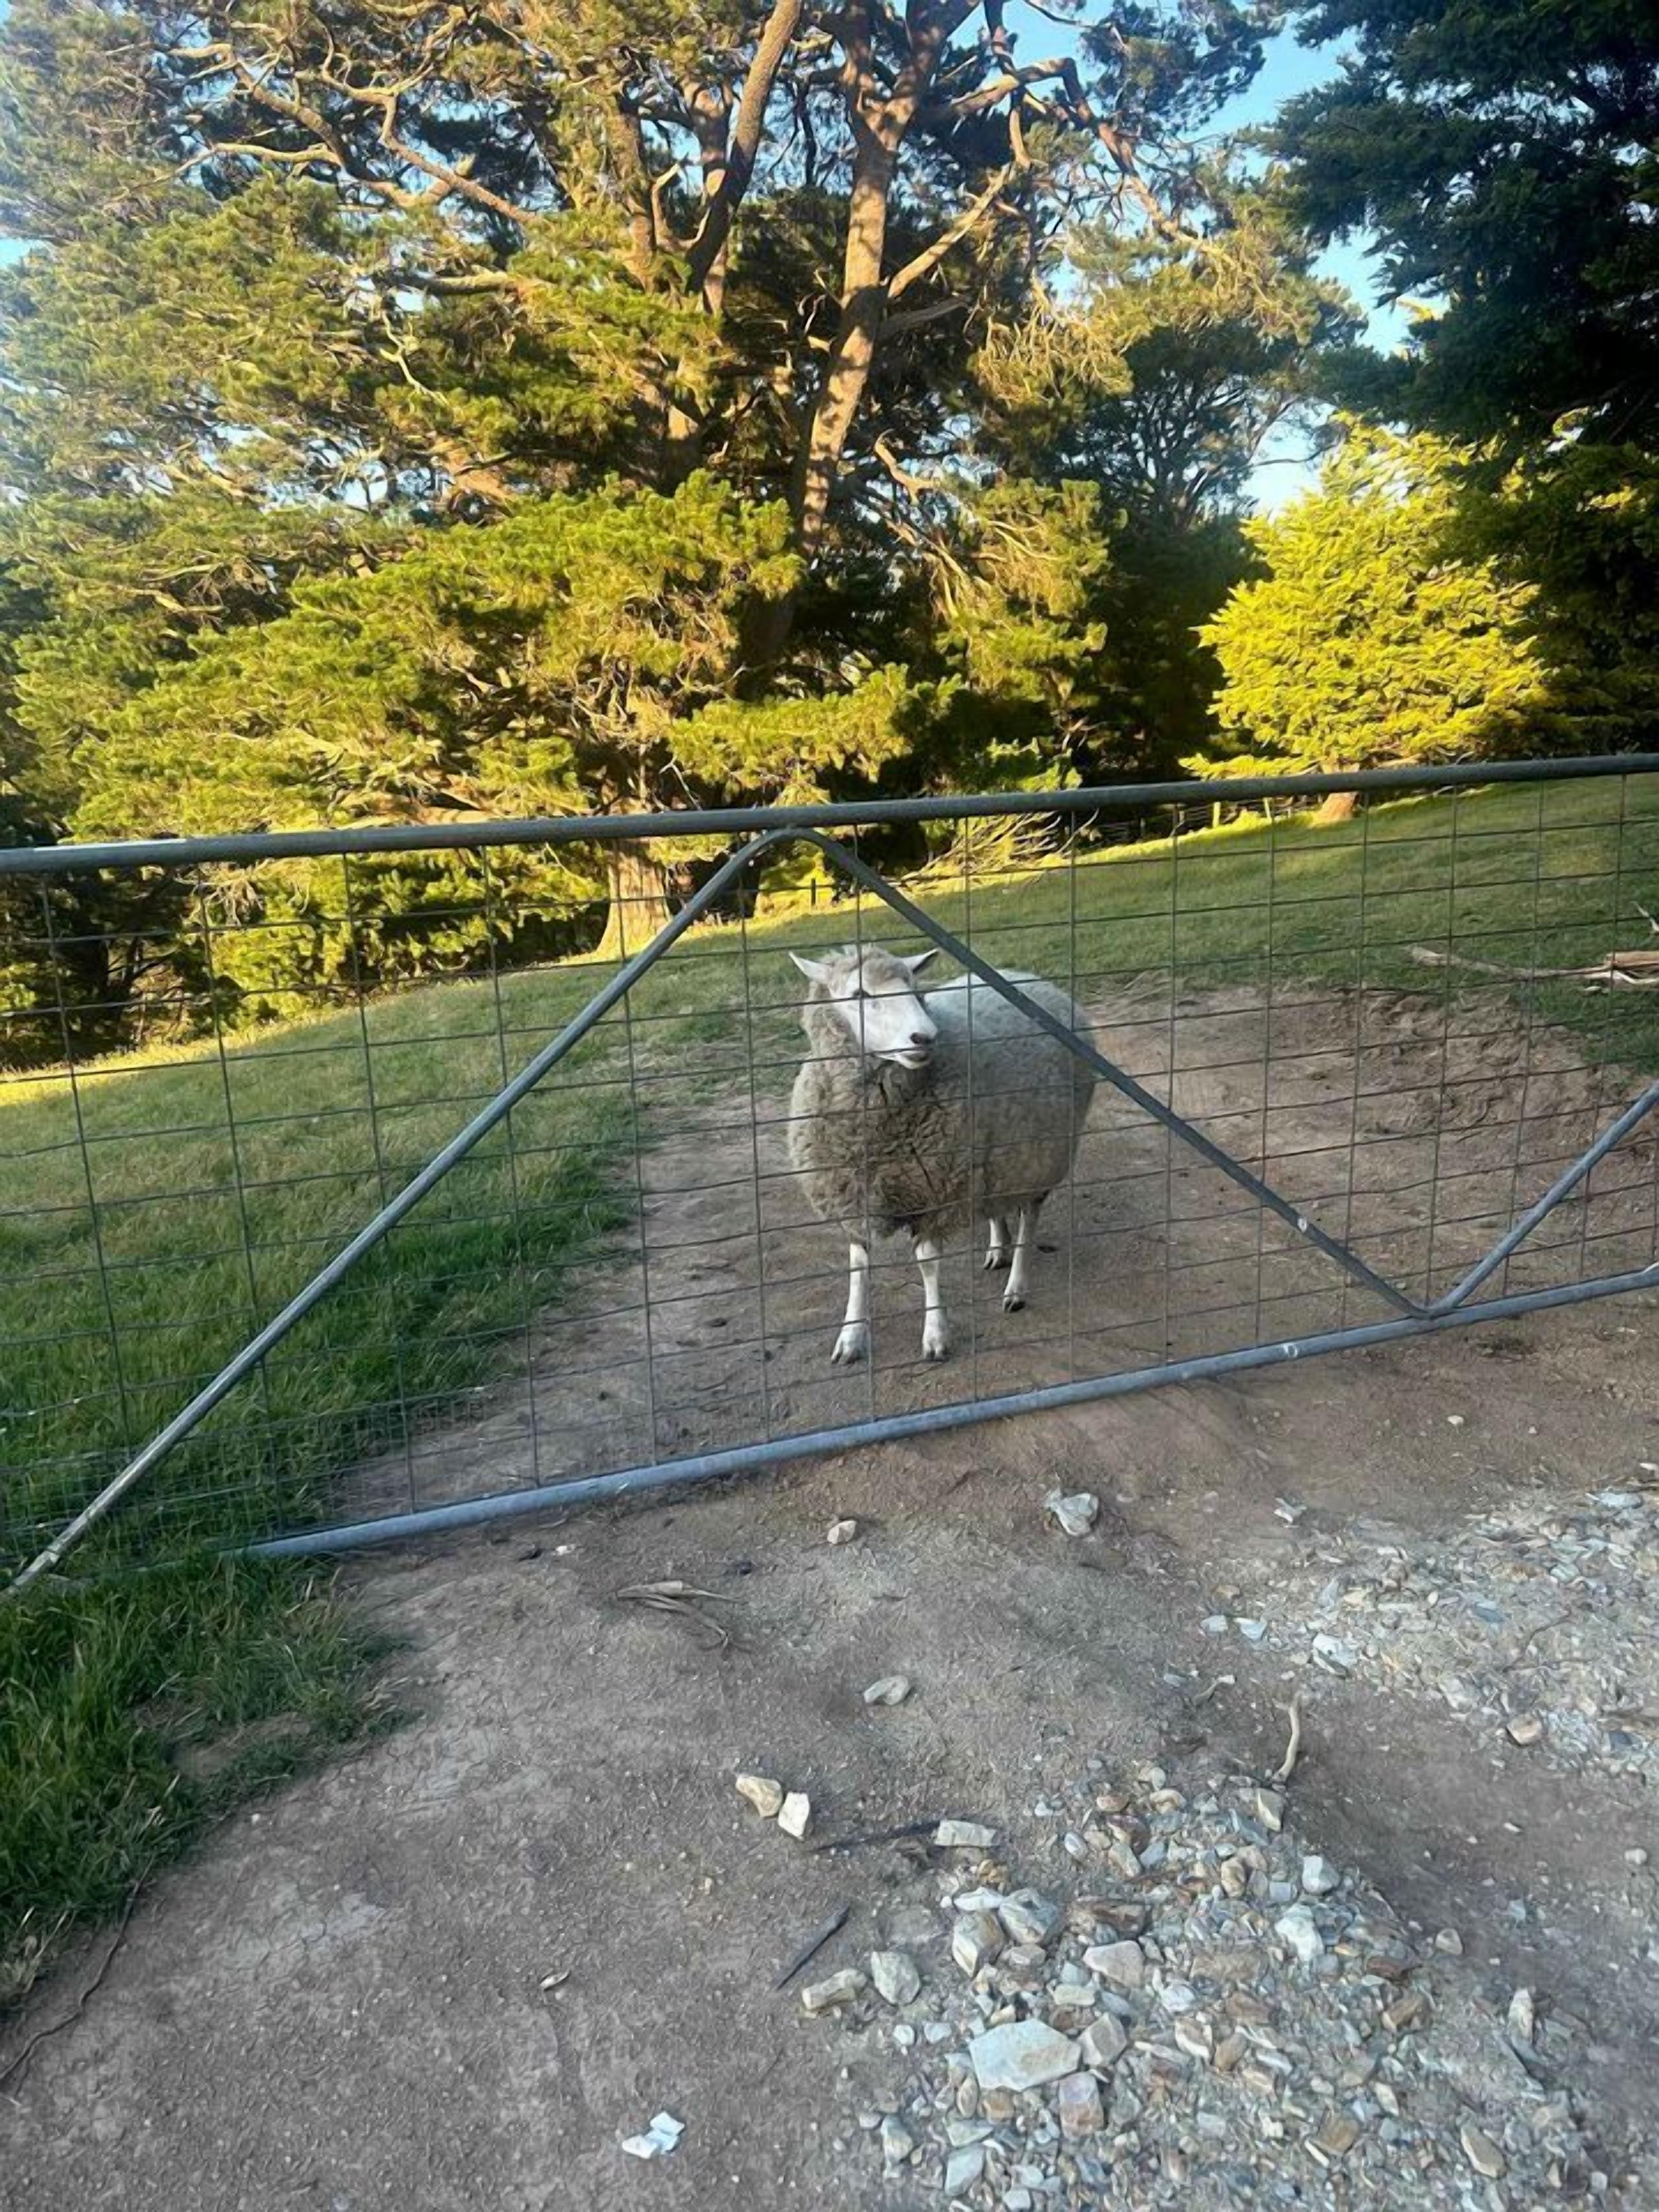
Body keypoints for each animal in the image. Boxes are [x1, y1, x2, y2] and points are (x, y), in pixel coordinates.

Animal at [786, 943, 1097, 1364]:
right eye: (858, 994)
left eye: (915, 988)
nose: (925, 1037)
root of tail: (1026, 976)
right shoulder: (852, 1195)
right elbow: (858, 1266)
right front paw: (851, 1335)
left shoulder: (936, 1191)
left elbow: (928, 1264)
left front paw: (936, 1335)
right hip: (992, 1155)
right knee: (995, 1205)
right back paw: (997, 1249)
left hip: (1041, 1155)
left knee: (1029, 1218)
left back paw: (1016, 1285)